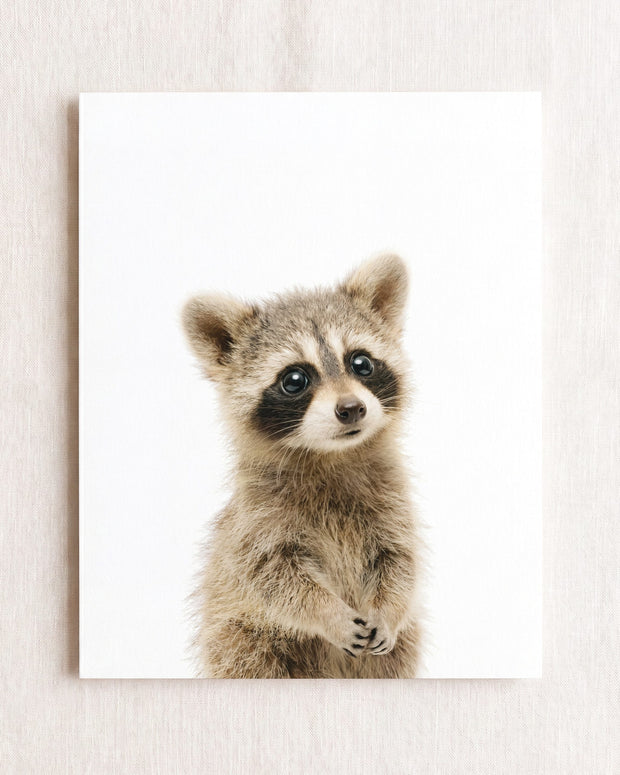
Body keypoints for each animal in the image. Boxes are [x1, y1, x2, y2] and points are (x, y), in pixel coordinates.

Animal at [182, 254, 422, 678]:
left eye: (361, 362)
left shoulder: (392, 503)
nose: (351, 408)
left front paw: (388, 609)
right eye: (295, 379)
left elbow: (399, 562)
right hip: (242, 639)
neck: (331, 455)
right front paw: (329, 614)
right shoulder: (256, 522)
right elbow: (276, 579)